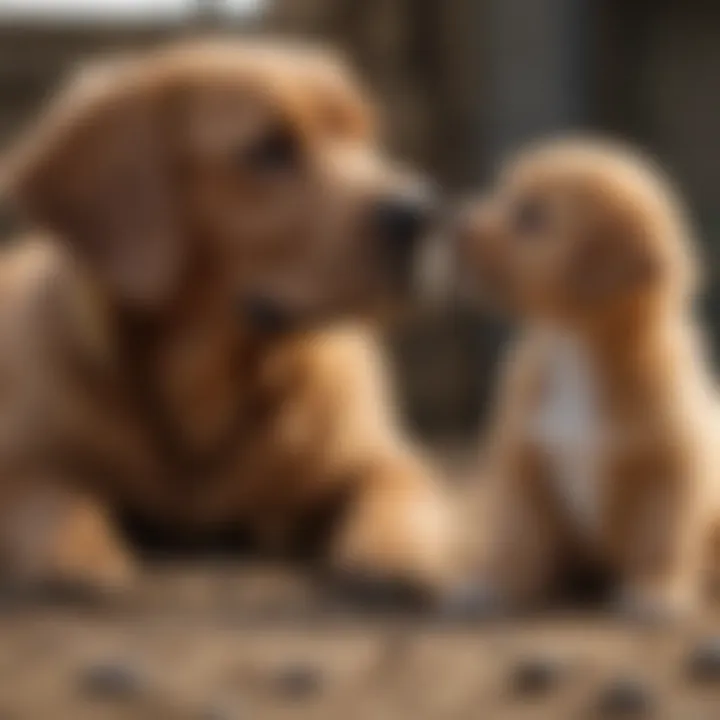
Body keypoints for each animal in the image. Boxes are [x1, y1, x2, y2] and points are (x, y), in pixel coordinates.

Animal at [0, 40, 452, 600]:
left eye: (365, 138)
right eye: (270, 150)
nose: (423, 213)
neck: (207, 386)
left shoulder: (385, 457)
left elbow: (398, 490)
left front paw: (396, 556)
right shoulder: (22, 462)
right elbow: (52, 499)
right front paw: (73, 553)